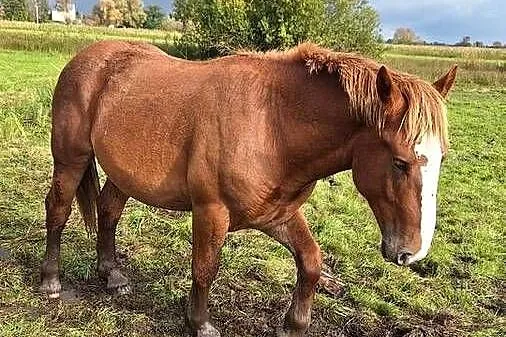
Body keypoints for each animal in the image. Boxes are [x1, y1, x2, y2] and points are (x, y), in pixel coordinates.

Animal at [39, 41, 456, 336]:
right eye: (400, 162)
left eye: (441, 158)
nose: (412, 252)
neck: (274, 125)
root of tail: (87, 58)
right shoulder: (211, 211)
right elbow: (205, 268)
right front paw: (200, 323)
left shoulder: (277, 214)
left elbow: (311, 261)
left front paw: (293, 325)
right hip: (70, 160)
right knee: (57, 209)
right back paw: (50, 281)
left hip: (123, 173)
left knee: (108, 211)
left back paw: (112, 275)